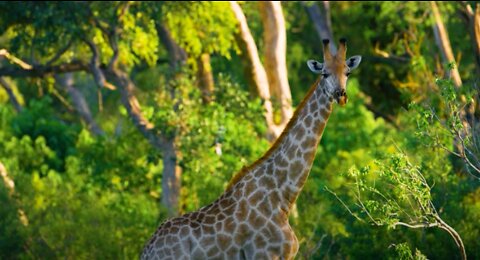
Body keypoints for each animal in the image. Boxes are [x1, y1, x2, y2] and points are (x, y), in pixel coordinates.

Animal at [141, 38, 362, 260]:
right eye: (324, 73)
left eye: (347, 72)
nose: (341, 95)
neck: (283, 197)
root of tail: (147, 250)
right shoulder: (263, 253)